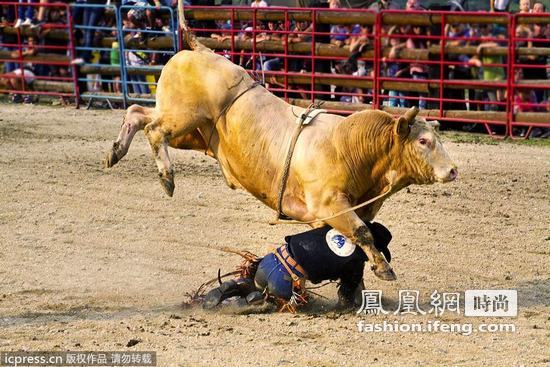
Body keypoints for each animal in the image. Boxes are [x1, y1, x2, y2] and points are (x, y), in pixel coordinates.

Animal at [103, 3, 458, 282]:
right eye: (423, 140)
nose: (453, 170)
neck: (349, 145)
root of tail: (202, 51)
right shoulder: (329, 204)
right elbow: (361, 232)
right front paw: (385, 269)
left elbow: (357, 234)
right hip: (184, 118)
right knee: (154, 130)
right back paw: (166, 177)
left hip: (192, 131)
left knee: (138, 114)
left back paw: (115, 152)